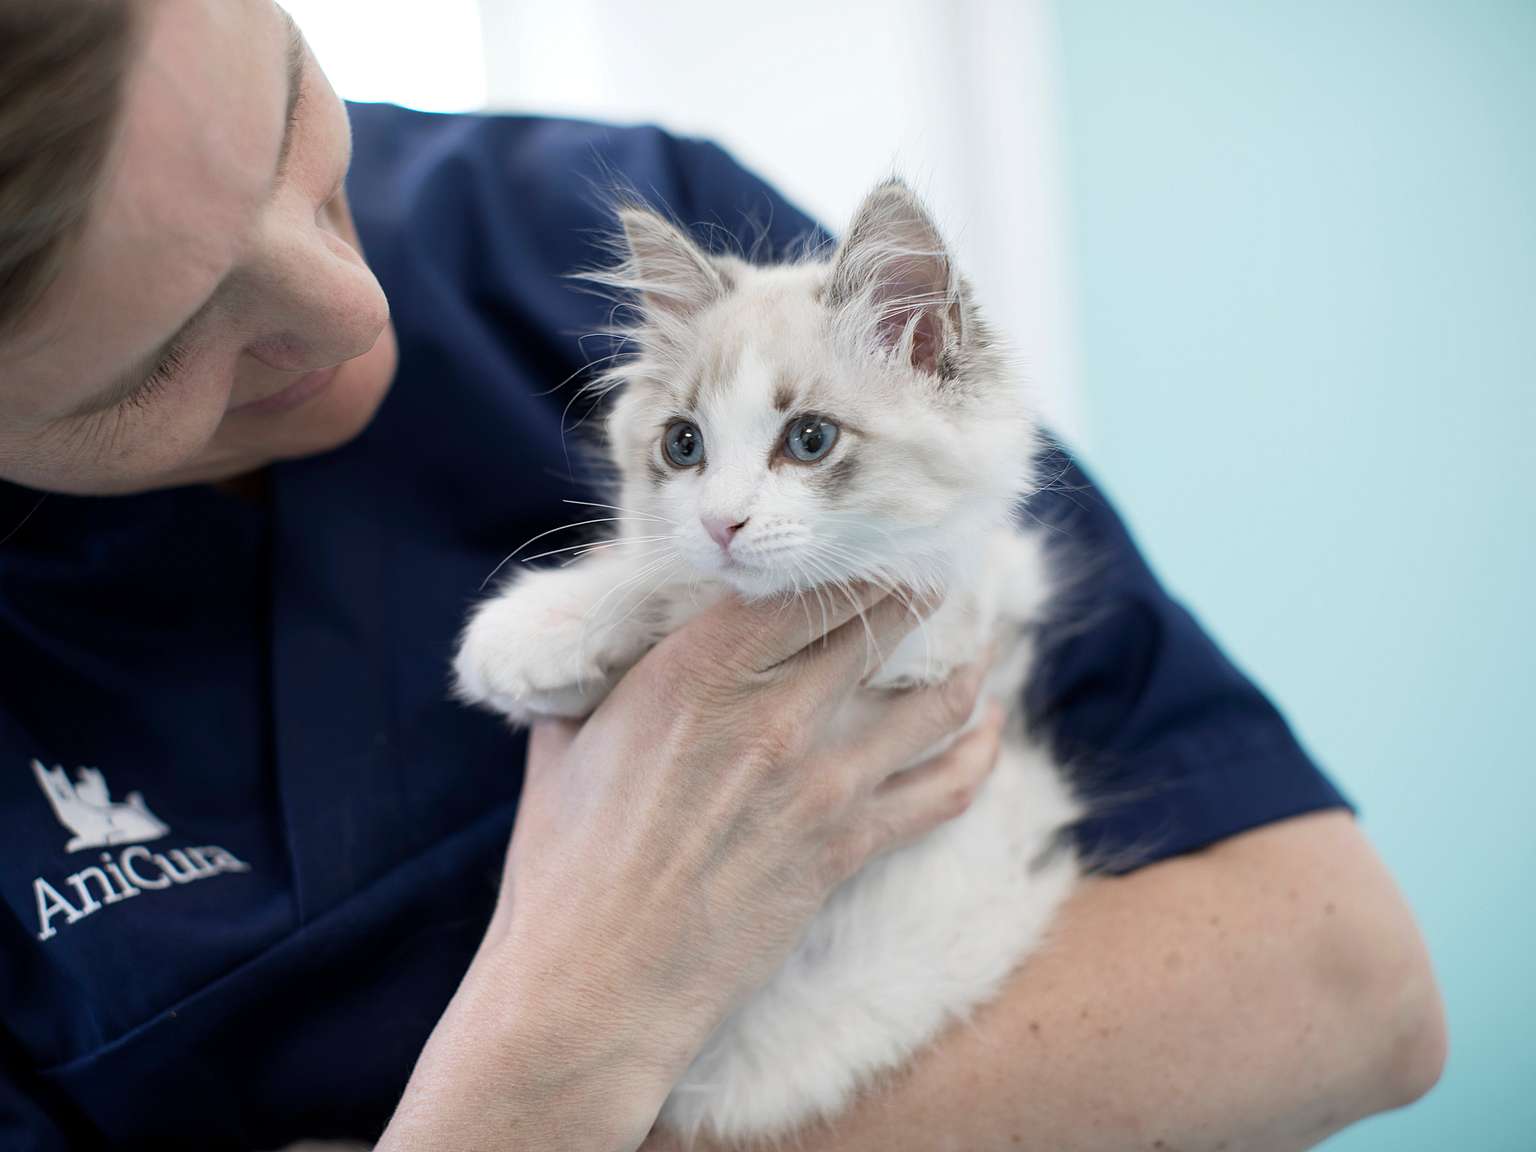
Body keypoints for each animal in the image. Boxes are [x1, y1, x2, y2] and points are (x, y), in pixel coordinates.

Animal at [451, 180, 1081, 1148]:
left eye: (811, 439)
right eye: (683, 446)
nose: (722, 523)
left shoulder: (993, 619)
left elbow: (941, 587)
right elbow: (649, 580)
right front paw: (537, 631)